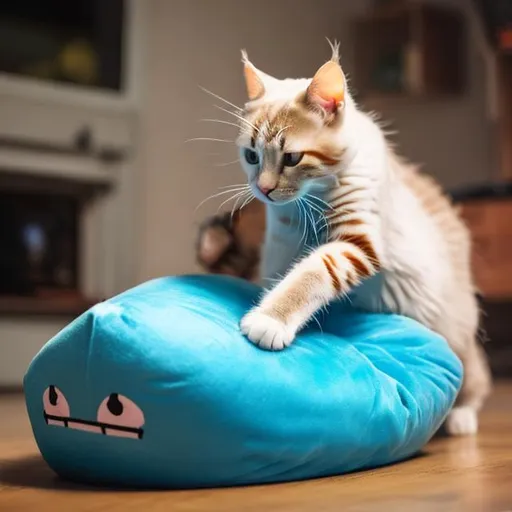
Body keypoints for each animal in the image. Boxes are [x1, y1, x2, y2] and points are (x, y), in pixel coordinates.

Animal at [196, 45, 492, 436]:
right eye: (251, 156)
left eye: (292, 158)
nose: (263, 189)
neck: (312, 200)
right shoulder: (281, 244)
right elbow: (284, 276)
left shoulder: (358, 241)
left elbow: (311, 274)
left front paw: (270, 319)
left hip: (457, 332)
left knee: (476, 376)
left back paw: (461, 417)